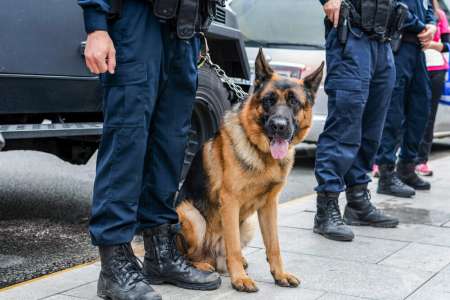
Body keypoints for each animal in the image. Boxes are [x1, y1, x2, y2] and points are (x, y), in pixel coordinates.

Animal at [176, 49, 324, 292]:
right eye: (269, 100)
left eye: (294, 102)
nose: (279, 126)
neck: (264, 156)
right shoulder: (230, 202)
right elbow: (234, 246)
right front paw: (240, 279)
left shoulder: (270, 205)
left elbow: (274, 245)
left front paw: (279, 274)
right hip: (192, 216)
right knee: (191, 254)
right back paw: (203, 267)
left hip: (248, 224)